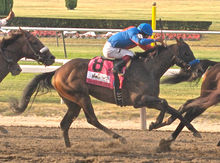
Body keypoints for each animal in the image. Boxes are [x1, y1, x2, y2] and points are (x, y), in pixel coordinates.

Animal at [10, 37, 203, 147]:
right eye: (187, 52)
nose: (200, 69)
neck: (149, 68)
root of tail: (57, 71)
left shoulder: (149, 99)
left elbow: (173, 109)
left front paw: (193, 131)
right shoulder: (139, 100)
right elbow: (164, 103)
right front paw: (155, 123)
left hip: (72, 102)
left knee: (65, 123)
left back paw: (69, 147)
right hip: (81, 96)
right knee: (92, 119)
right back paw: (119, 137)